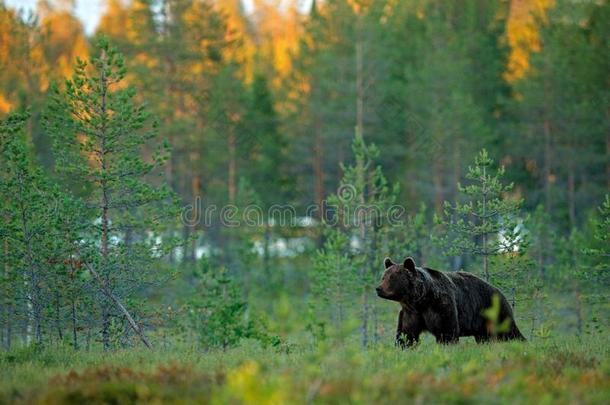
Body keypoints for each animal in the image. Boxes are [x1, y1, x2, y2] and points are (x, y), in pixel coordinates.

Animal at [376, 256, 524, 348]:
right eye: (383, 277)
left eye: (392, 278)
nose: (378, 288)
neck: (420, 300)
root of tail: (500, 292)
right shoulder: (411, 313)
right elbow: (407, 333)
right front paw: (404, 346)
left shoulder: (440, 305)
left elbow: (446, 331)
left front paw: (446, 345)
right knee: (484, 338)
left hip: (493, 310)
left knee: (508, 331)